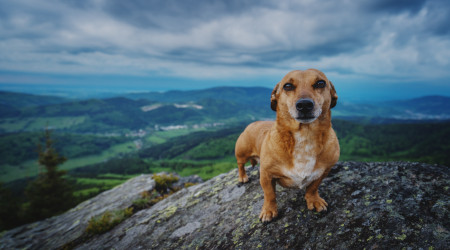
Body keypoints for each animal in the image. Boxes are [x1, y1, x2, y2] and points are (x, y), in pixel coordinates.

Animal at [236, 69, 338, 223]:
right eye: (288, 86)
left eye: (320, 83)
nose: (304, 104)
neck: (305, 136)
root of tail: (253, 123)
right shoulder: (266, 175)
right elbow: (269, 195)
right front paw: (269, 211)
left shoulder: (324, 171)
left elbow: (313, 188)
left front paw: (314, 200)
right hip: (242, 153)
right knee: (241, 165)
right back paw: (243, 177)